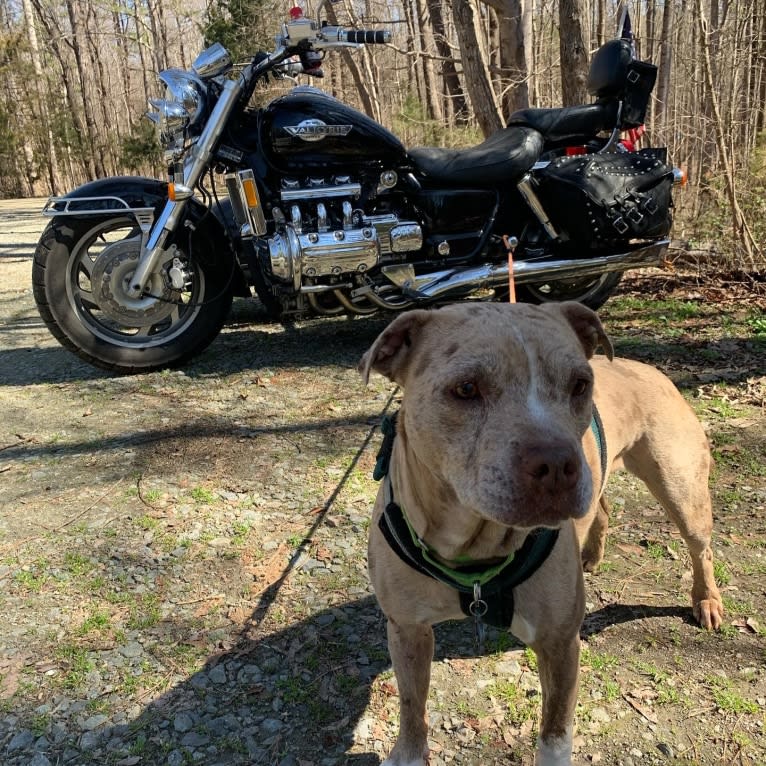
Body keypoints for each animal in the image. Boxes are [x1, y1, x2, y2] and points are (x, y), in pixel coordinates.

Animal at [360, 304, 728, 766]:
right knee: (602, 506)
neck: (474, 552)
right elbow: (411, 707)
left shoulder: (559, 644)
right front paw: (408, 753)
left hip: (682, 491)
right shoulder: (407, 629)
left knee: (702, 550)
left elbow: (555, 730)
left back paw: (706, 600)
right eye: (466, 388)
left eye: (580, 385)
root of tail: (647, 368)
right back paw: (592, 553)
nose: (556, 463)